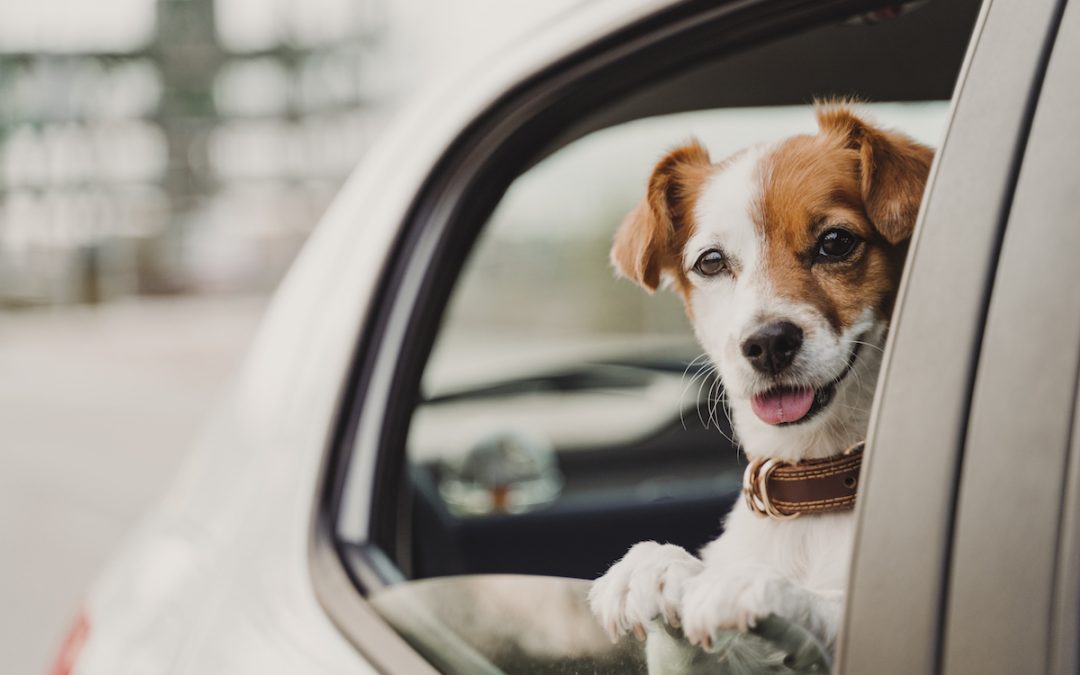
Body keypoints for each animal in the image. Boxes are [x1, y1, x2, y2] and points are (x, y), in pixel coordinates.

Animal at [587, 102, 933, 656]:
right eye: (710, 261)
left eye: (836, 242)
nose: (767, 342)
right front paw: (653, 564)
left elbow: (827, 603)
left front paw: (748, 584)